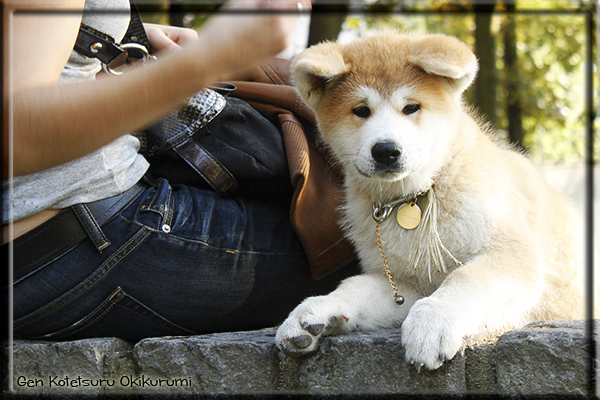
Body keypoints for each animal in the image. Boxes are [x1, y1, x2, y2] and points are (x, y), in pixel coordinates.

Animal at [276, 32, 592, 372]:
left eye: (411, 107)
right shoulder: (404, 284)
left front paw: (434, 322)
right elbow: (354, 285)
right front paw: (315, 309)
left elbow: (464, 278)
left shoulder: (511, 254)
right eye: (361, 110)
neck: (418, 195)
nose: (386, 150)